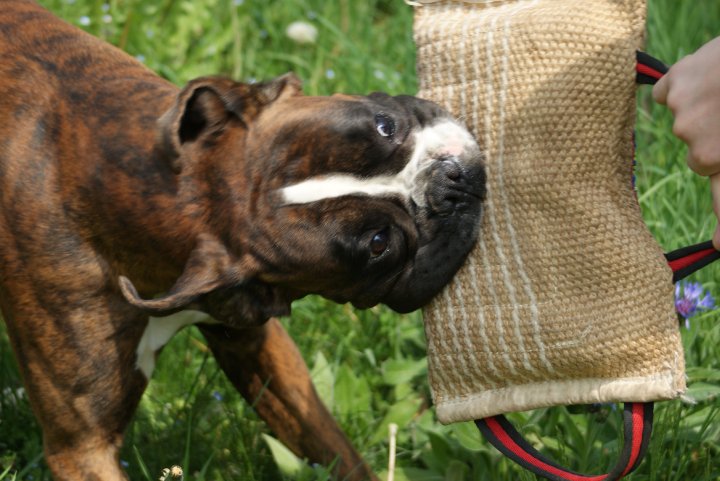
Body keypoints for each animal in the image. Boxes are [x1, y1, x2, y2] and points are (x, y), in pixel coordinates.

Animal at [0, 0, 484, 480]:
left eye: (384, 125)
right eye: (379, 245)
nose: (449, 180)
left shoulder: (258, 346)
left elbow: (335, 448)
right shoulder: (82, 451)